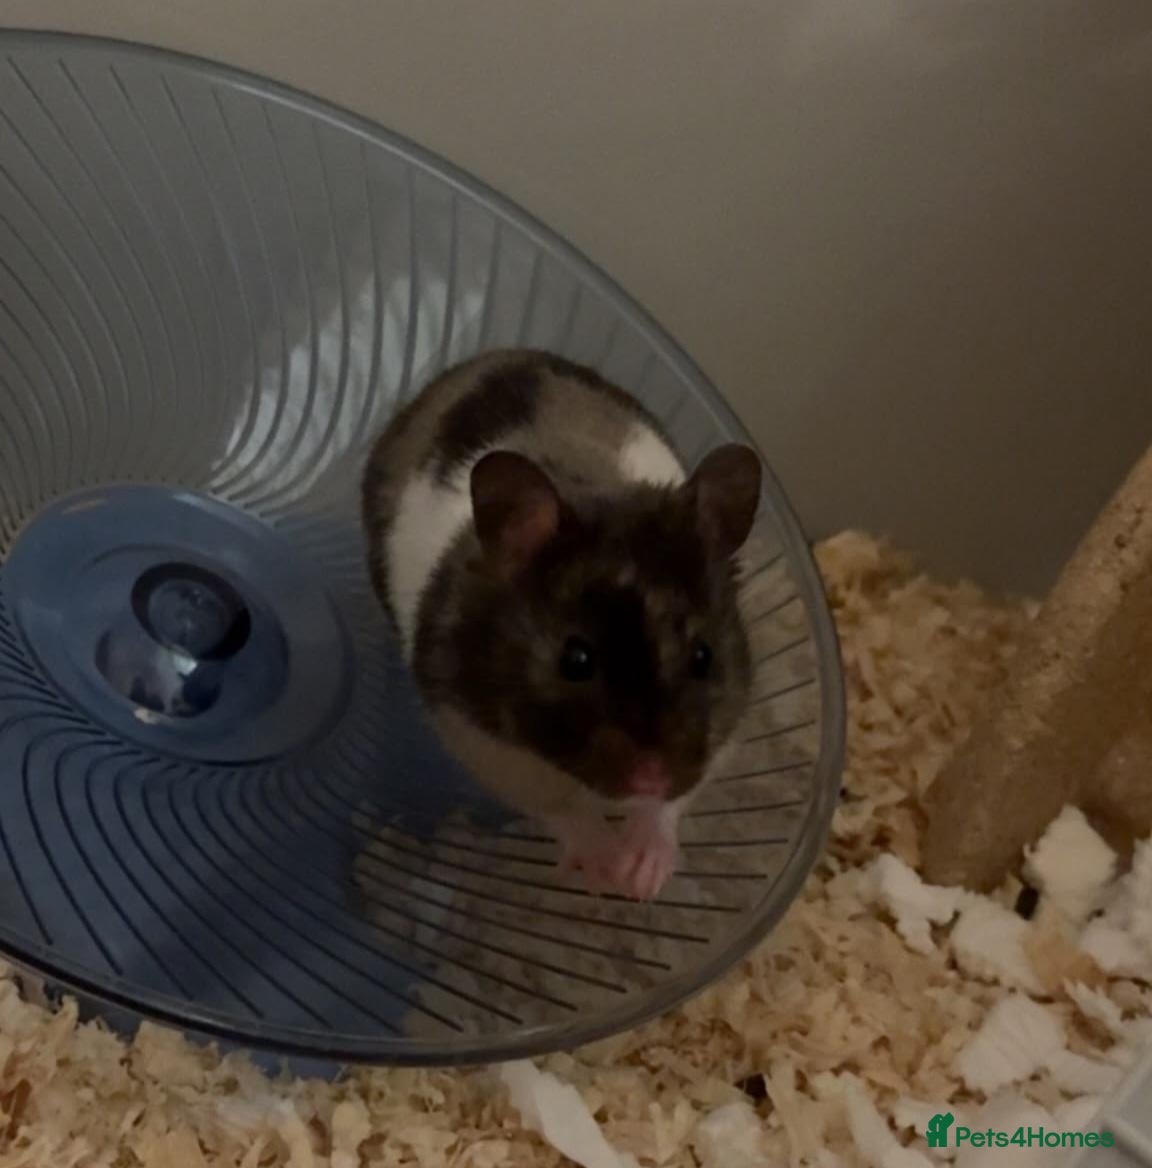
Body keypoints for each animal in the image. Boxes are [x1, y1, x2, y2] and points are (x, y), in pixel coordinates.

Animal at [361, 350, 761, 900]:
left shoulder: (721, 733)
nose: (651, 777)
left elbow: (668, 808)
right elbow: (561, 806)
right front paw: (604, 872)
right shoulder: (481, 739)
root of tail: (491, 355)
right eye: (576, 660)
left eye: (703, 657)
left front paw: (641, 878)